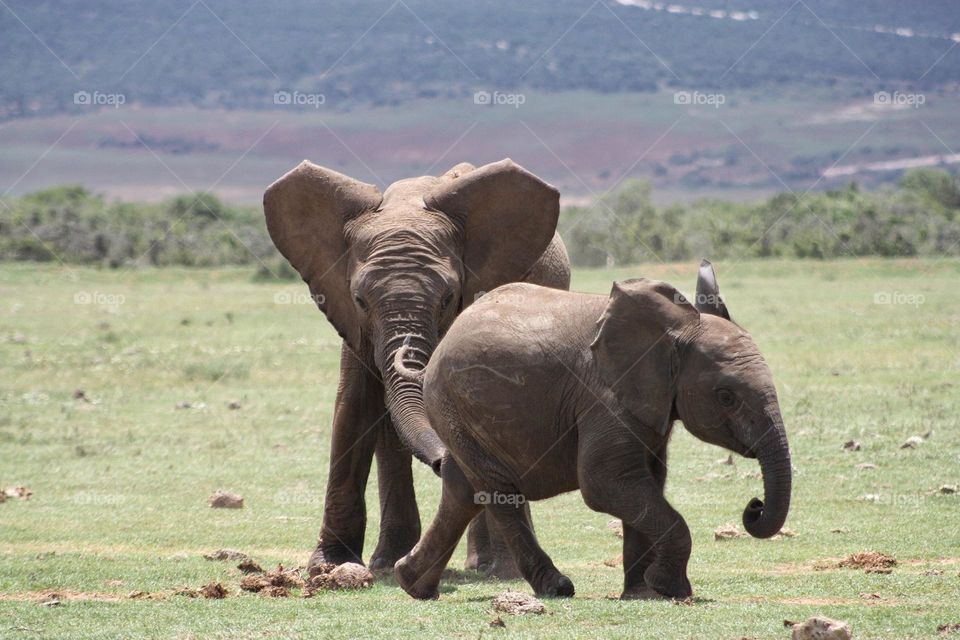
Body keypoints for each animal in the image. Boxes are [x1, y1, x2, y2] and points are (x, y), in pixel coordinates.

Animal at [262, 156, 568, 576]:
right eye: (360, 299)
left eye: (448, 299)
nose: (443, 463)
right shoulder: (351, 321)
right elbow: (354, 407)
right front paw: (329, 567)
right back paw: (392, 561)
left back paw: (487, 567)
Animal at [394, 260, 792, 600]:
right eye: (726, 397)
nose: (754, 506)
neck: (677, 328)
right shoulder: (603, 397)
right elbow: (605, 484)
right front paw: (670, 589)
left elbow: (647, 480)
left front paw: (642, 593)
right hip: (453, 405)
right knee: (499, 493)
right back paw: (556, 587)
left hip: (459, 415)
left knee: (462, 488)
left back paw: (412, 583)